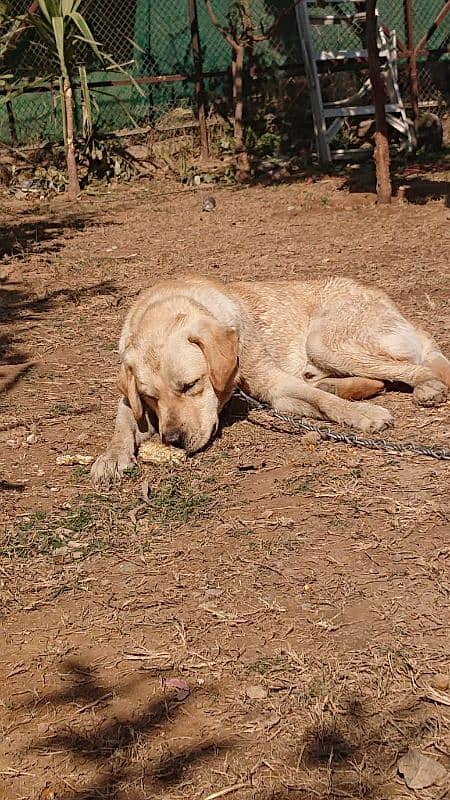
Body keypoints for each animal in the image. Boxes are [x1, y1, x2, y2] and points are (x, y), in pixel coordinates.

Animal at [90, 276, 446, 484]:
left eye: (190, 385)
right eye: (151, 397)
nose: (173, 441)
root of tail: (390, 302)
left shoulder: (271, 381)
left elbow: (324, 402)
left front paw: (363, 415)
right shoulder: (132, 398)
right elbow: (122, 420)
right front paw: (112, 456)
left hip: (322, 341)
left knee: (412, 367)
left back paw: (427, 386)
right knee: (374, 380)